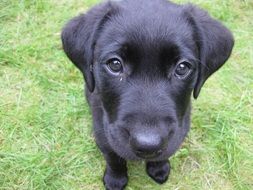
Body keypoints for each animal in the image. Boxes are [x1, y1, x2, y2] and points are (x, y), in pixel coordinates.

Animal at [60, 0, 233, 189]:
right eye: (115, 64)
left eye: (182, 67)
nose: (148, 146)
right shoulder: (103, 134)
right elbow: (113, 158)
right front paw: (115, 179)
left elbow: (164, 153)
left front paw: (159, 168)